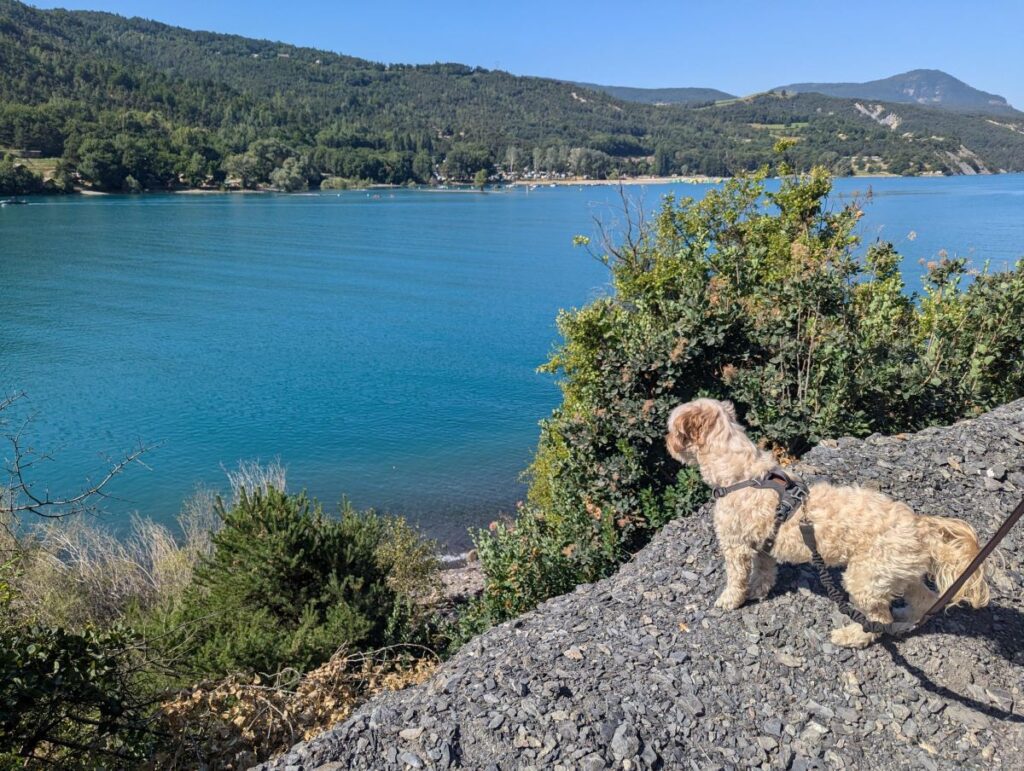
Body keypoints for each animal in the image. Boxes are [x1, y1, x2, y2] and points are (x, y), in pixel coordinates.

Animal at [667, 399, 987, 647]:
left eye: (671, 428)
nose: (666, 441)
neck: (741, 474)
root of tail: (922, 528)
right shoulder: (764, 543)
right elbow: (765, 570)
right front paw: (759, 590)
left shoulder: (736, 546)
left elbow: (736, 578)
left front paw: (730, 600)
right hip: (895, 574)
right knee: (924, 599)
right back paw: (905, 618)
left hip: (865, 578)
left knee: (877, 617)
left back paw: (852, 637)